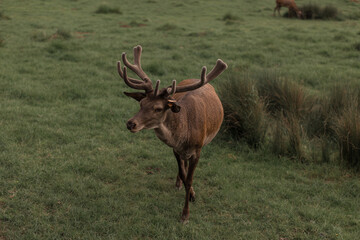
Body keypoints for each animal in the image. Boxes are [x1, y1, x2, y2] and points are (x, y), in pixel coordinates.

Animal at [116, 45, 226, 223]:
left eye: (158, 108)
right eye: (141, 103)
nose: (131, 123)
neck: (184, 133)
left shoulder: (198, 149)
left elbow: (189, 179)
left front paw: (185, 214)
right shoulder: (175, 149)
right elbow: (183, 175)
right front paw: (188, 192)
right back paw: (177, 183)